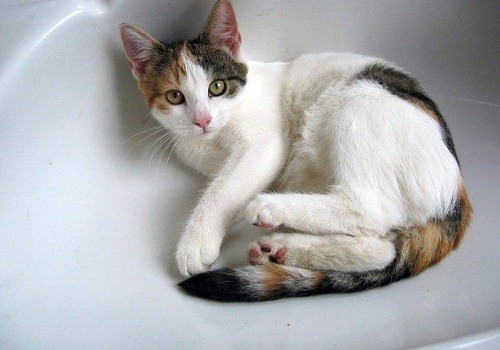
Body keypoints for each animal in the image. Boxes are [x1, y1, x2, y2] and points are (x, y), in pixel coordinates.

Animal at [121, 0, 472, 300]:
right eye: (174, 97)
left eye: (217, 87)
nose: (202, 119)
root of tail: (455, 193)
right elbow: (228, 185)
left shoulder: (264, 146)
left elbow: (223, 189)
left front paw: (196, 240)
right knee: (383, 250)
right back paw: (283, 249)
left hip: (358, 102)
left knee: (368, 209)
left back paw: (272, 209)